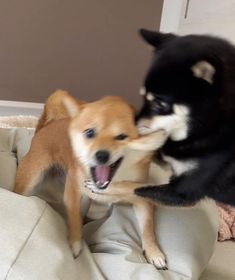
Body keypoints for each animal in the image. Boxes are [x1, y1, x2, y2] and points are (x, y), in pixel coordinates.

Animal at [13, 91, 167, 268]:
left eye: (122, 137)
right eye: (89, 133)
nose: (101, 155)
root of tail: (43, 128)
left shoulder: (142, 199)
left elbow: (148, 229)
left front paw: (154, 253)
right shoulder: (73, 192)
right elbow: (74, 218)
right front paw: (75, 244)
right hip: (30, 181)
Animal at [134, 29, 235, 207]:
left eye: (159, 103)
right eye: (143, 97)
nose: (133, 122)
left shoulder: (182, 191)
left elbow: (136, 189)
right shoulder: (169, 160)